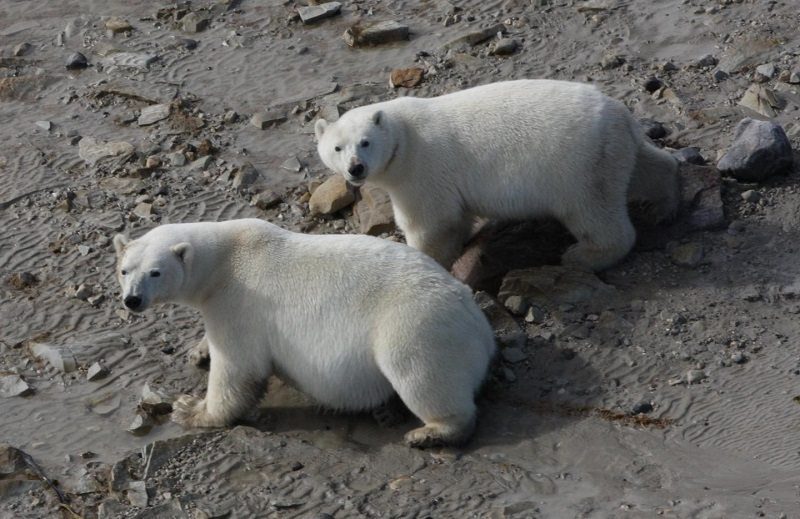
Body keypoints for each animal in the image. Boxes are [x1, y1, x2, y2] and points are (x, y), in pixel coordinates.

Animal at [114, 219, 494, 446]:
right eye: (124, 269)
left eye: (155, 272)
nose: (132, 300)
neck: (225, 256)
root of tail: (479, 326)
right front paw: (198, 350)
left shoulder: (237, 303)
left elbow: (238, 368)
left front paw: (190, 409)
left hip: (415, 327)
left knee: (420, 376)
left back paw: (428, 432)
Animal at [316, 80, 680, 272]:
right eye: (337, 147)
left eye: (365, 142)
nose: (355, 168)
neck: (403, 135)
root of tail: (620, 115)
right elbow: (456, 218)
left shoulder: (421, 170)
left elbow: (431, 223)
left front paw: (423, 258)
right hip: (613, 150)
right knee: (646, 169)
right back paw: (665, 203)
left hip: (578, 166)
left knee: (593, 212)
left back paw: (581, 256)